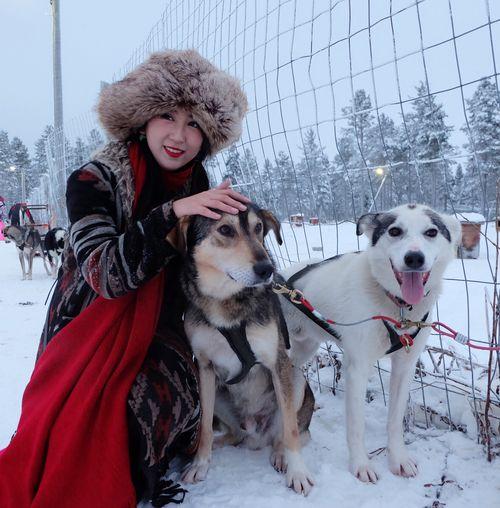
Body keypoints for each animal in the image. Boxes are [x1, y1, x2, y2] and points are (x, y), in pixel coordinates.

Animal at [178, 204, 314, 494]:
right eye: (225, 229)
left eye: (258, 227)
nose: (267, 269)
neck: (226, 301)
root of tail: (255, 434)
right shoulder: (204, 366)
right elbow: (205, 427)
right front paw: (200, 463)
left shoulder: (277, 361)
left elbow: (290, 430)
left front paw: (298, 472)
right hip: (218, 395)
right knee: (234, 434)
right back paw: (221, 443)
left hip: (295, 378)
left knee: (286, 431)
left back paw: (280, 455)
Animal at [278, 204, 460, 482]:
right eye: (394, 231)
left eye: (431, 232)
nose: (414, 258)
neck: (397, 308)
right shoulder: (357, 369)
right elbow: (356, 426)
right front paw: (361, 465)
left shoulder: (404, 367)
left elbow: (395, 421)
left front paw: (398, 459)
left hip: (301, 358)